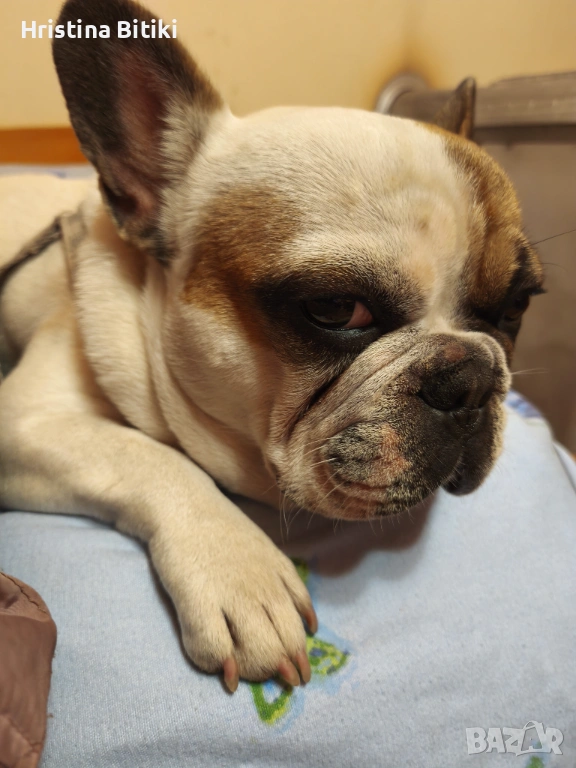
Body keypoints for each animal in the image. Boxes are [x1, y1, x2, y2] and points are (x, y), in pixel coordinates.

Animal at [0, 0, 544, 692]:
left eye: (516, 308)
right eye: (337, 309)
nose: (470, 377)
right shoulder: (26, 422)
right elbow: (150, 456)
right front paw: (242, 573)